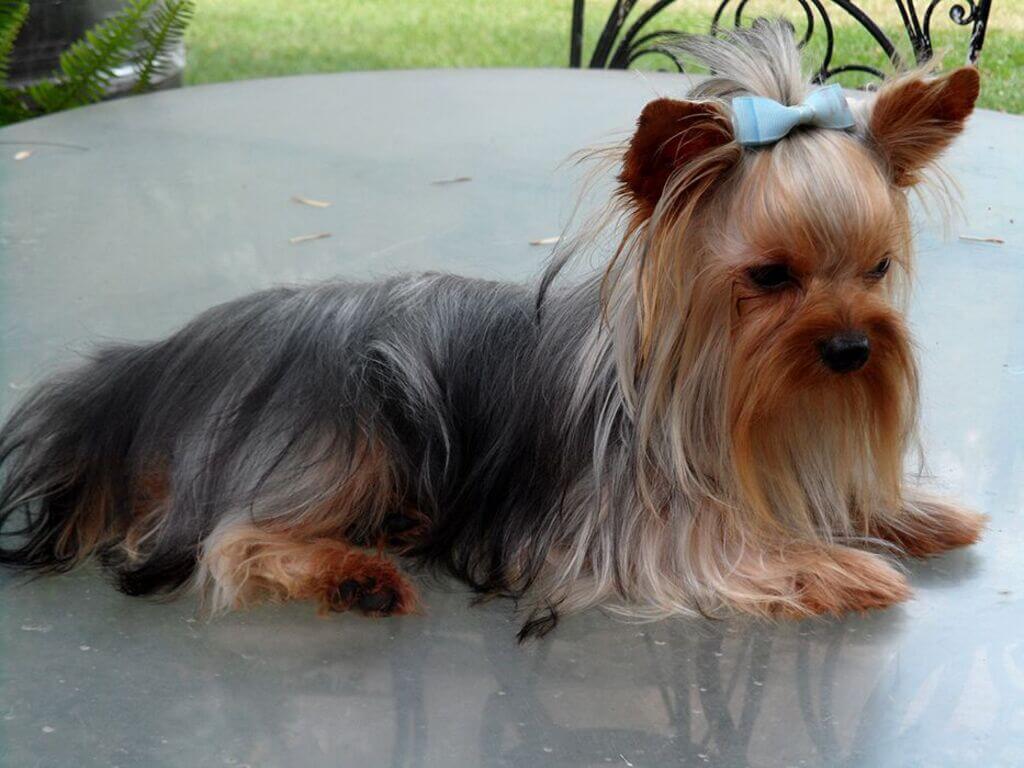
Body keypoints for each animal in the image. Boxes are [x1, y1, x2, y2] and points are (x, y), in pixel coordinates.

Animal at [0, 24, 983, 638]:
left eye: (876, 268)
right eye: (770, 276)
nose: (852, 350)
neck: (713, 392)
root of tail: (159, 361)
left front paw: (911, 511)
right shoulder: (633, 526)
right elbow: (718, 548)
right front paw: (835, 565)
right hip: (348, 428)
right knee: (231, 539)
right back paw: (355, 575)